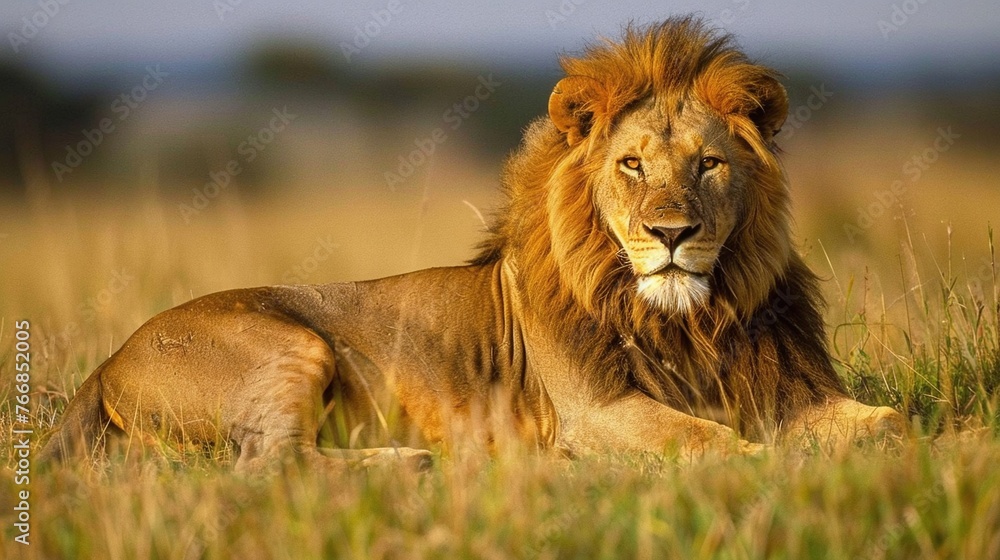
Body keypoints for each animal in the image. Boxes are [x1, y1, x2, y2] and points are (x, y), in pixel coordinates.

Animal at [40, 17, 906, 472]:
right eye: (631, 165)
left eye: (709, 164)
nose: (671, 234)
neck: (689, 318)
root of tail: (109, 360)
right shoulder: (592, 414)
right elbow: (712, 440)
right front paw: (772, 465)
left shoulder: (786, 388)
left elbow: (889, 423)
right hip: (292, 346)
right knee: (269, 466)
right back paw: (409, 463)